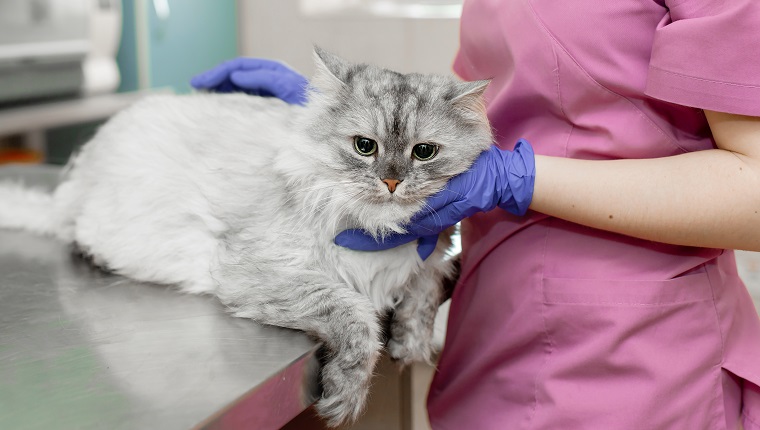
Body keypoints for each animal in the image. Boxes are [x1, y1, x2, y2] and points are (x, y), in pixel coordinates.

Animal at [0, 48, 492, 424]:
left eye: (423, 152)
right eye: (364, 147)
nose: (391, 182)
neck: (378, 230)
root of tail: (76, 179)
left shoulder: (432, 258)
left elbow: (422, 296)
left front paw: (411, 345)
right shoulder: (259, 272)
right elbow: (357, 318)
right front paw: (345, 396)